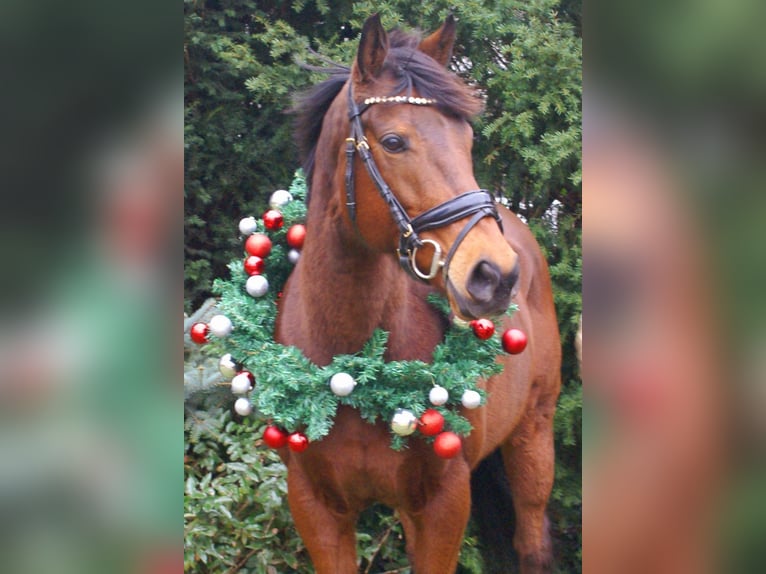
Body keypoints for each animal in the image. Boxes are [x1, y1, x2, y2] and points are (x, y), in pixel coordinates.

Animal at [272, 13, 560, 574]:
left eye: (467, 138)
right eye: (393, 141)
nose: (495, 275)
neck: (351, 368)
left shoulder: (444, 505)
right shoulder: (316, 508)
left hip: (534, 436)